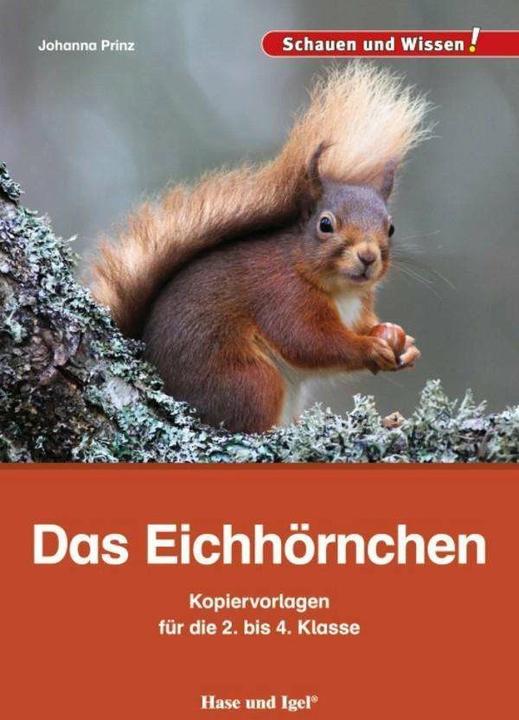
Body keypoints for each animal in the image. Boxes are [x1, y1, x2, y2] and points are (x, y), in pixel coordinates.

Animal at [91, 62, 431, 434]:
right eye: (325, 224)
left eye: (391, 227)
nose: (368, 257)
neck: (339, 291)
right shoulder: (282, 297)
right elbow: (310, 342)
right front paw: (369, 347)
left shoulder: (358, 307)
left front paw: (399, 339)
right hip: (250, 381)